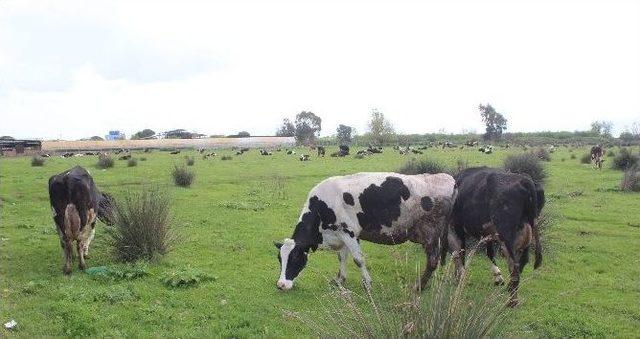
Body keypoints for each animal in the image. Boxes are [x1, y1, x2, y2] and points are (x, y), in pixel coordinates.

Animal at [274, 173, 456, 292]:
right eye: (280, 259)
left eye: (295, 257)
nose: (281, 285)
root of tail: (448, 177)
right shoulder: (342, 235)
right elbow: (342, 257)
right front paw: (339, 280)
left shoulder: (348, 232)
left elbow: (358, 260)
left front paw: (367, 284)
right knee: (456, 254)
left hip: (431, 233)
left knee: (432, 261)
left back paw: (418, 286)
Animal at [444, 167, 544, 308]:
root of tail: (524, 181)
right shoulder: (488, 233)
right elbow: (489, 252)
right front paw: (498, 278)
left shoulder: (457, 227)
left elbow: (460, 252)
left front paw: (459, 277)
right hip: (525, 238)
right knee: (521, 264)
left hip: (507, 238)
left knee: (514, 268)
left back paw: (512, 301)